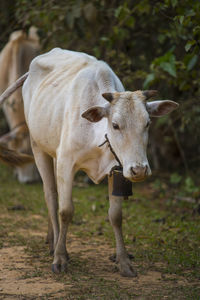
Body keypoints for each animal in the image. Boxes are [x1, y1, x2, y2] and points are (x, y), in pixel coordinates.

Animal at [0, 48, 178, 276]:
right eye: (115, 124)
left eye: (147, 123)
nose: (139, 170)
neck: (97, 134)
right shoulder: (66, 163)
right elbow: (65, 211)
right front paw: (60, 258)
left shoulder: (116, 169)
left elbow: (115, 216)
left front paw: (123, 261)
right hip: (37, 146)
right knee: (51, 196)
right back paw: (55, 244)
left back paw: (51, 238)